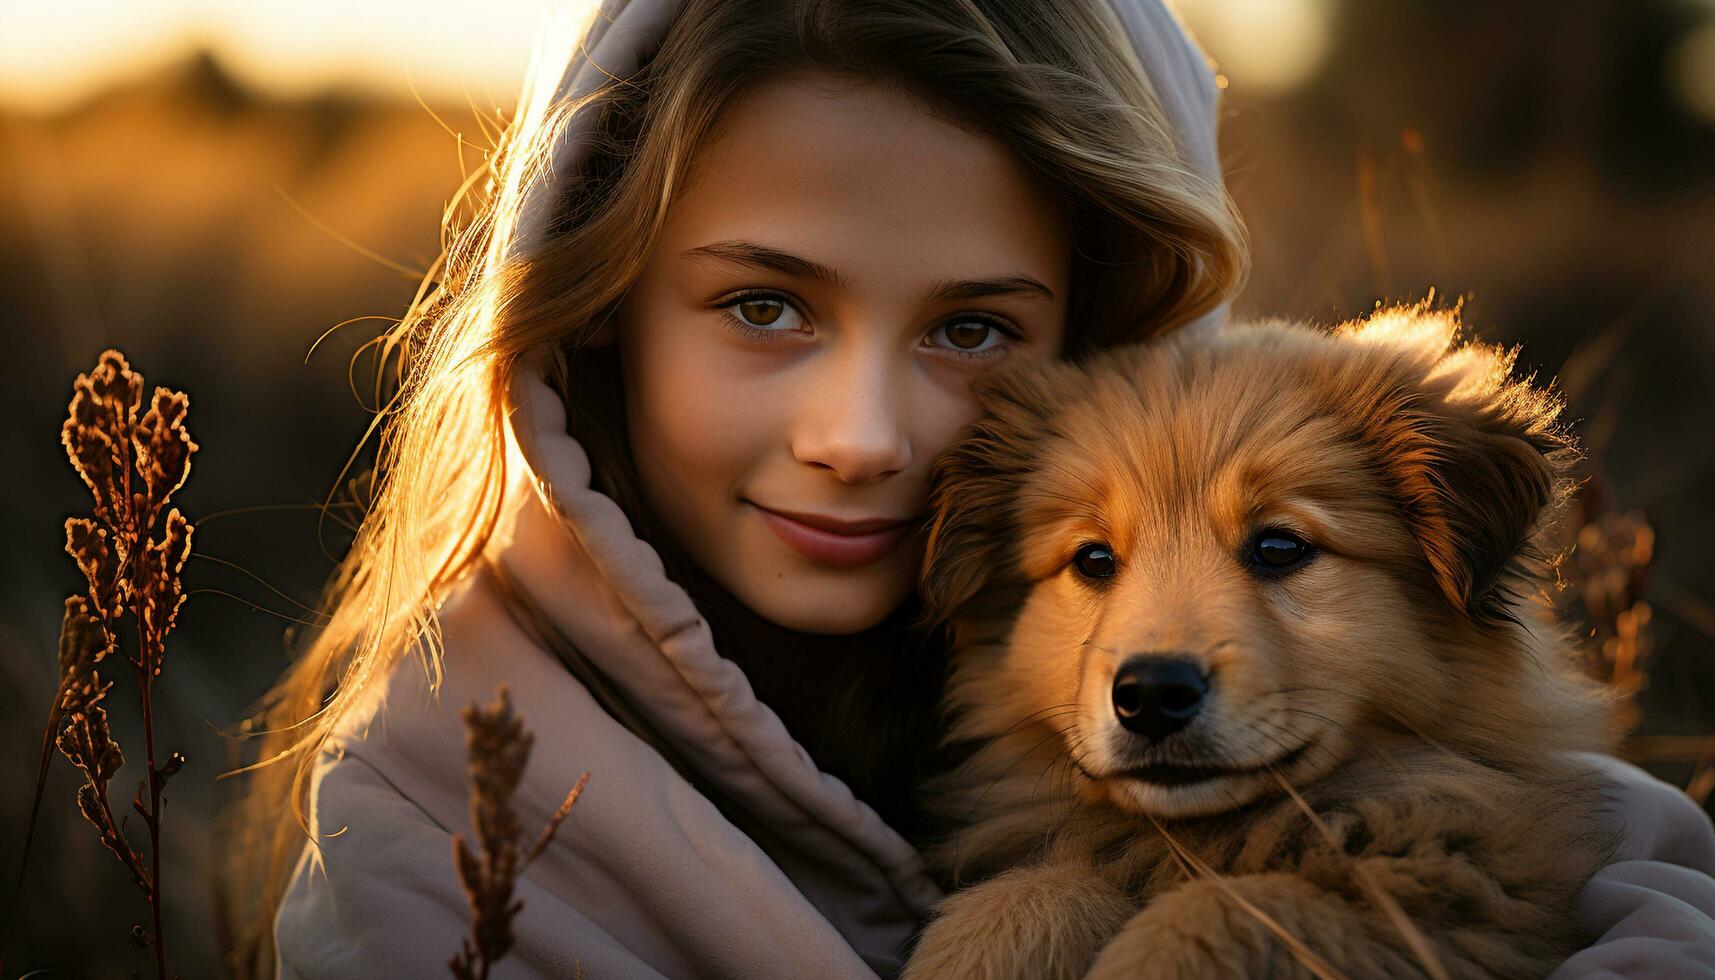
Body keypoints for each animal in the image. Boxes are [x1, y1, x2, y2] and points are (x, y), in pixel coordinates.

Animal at [912, 308, 1618, 980]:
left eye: (1280, 547)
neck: (1197, 839)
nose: (1152, 695)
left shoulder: (1470, 901)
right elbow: (1020, 898)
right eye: (1093, 559)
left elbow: (1221, 913)